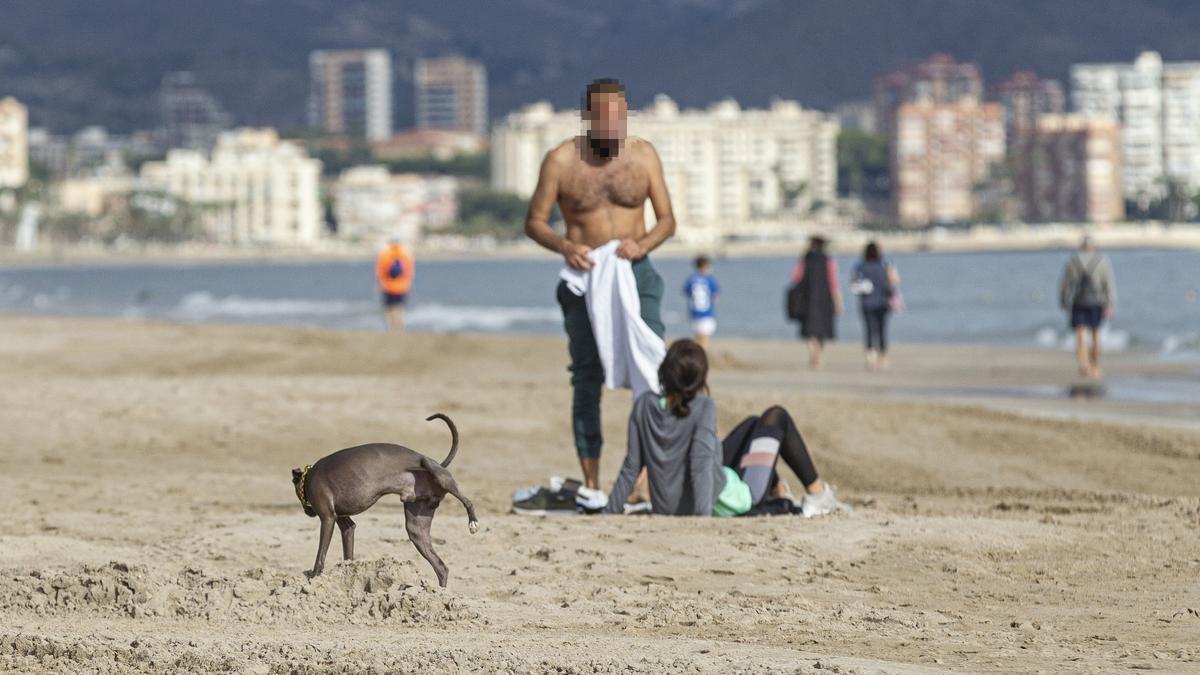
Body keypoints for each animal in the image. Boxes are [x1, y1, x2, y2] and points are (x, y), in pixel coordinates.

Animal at [290, 410, 477, 583]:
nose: (307, 512)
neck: (309, 476)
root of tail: (439, 463)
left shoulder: (328, 519)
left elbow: (320, 555)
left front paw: (314, 576)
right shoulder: (345, 524)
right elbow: (348, 552)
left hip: (436, 473)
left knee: (468, 501)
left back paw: (473, 521)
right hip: (416, 528)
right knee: (441, 567)